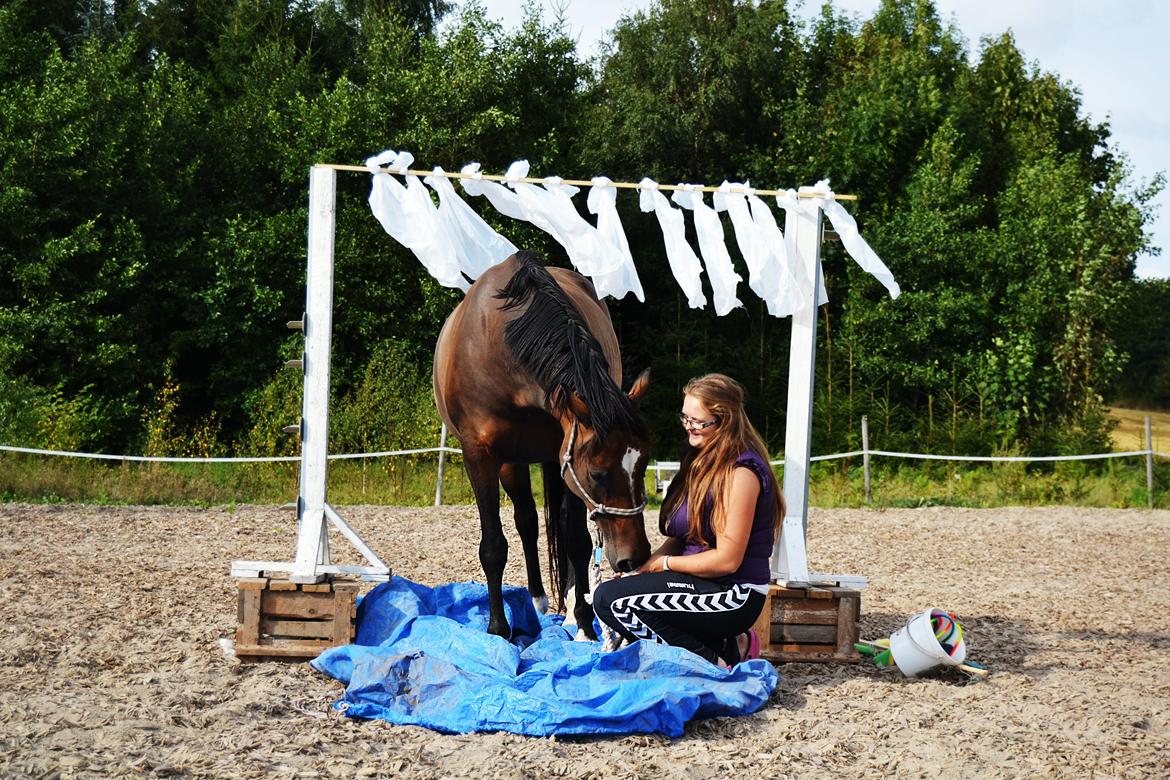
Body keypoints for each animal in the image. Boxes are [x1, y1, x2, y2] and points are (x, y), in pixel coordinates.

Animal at [435, 251, 655, 640]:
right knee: (526, 520)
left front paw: (583, 622)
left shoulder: (564, 457)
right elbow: (493, 546)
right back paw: (537, 600)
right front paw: (497, 629)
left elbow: (577, 541)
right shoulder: (480, 457)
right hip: (512, 463)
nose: (635, 556)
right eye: (598, 474)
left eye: (643, 464)